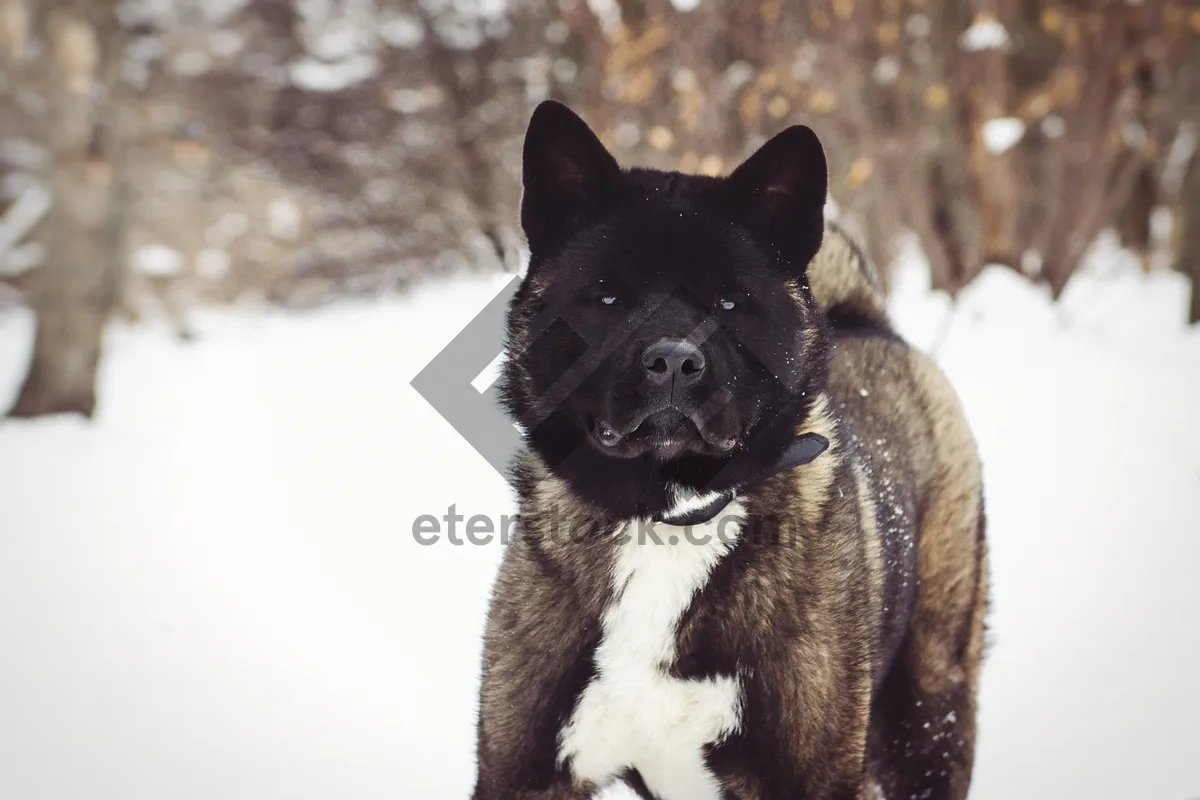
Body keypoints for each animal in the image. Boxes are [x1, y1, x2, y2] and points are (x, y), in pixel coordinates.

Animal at [472, 101, 988, 800]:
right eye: (606, 297)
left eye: (728, 301)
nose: (672, 361)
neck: (666, 520)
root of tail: (872, 325)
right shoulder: (521, 777)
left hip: (928, 715)